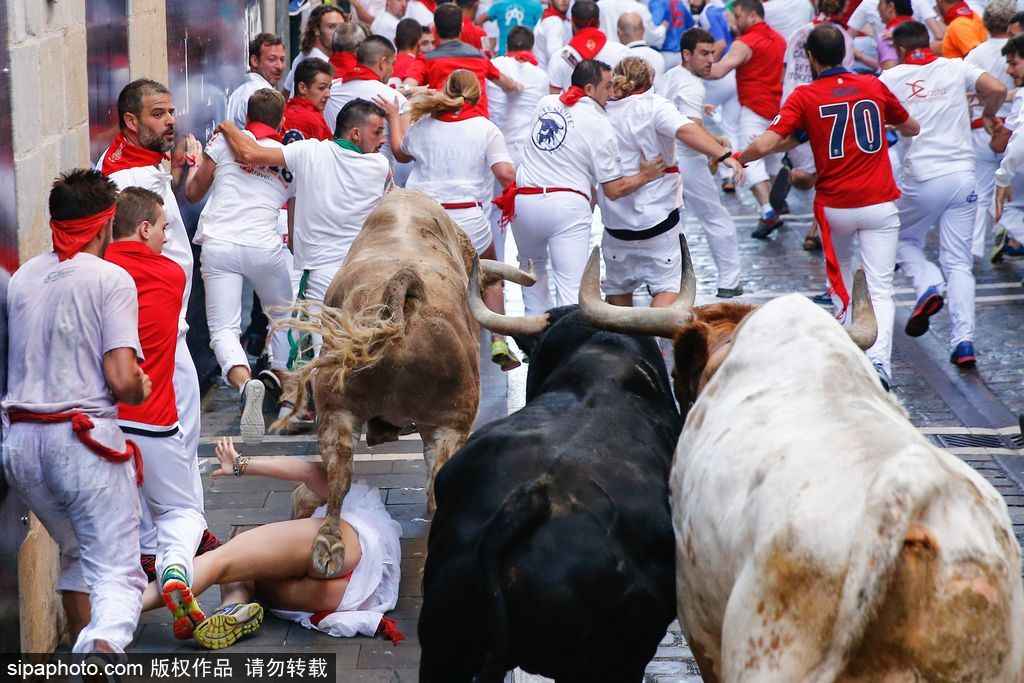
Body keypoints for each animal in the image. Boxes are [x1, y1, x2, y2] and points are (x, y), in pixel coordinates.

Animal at [282, 189, 532, 581]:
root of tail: (403, 299)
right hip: (448, 425)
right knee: (432, 488)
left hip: (339, 411)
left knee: (338, 473)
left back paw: (326, 543)